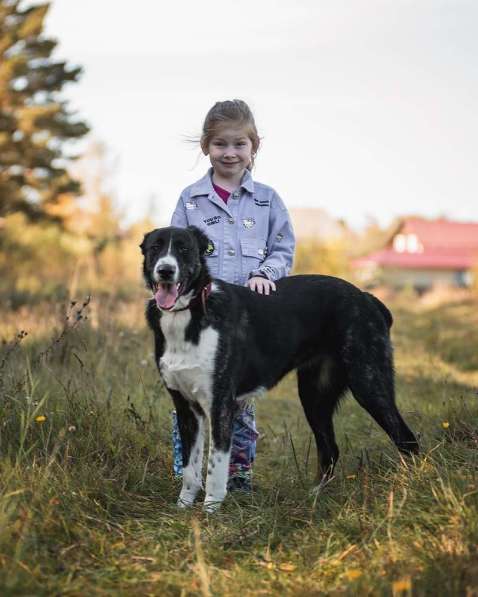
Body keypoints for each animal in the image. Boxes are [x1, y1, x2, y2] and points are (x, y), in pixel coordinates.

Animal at [142, 226, 418, 510]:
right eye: (155, 248)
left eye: (184, 249)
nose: (165, 270)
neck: (191, 312)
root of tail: (368, 298)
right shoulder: (186, 408)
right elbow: (191, 467)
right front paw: (184, 507)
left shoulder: (220, 405)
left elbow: (215, 465)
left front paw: (210, 509)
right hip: (315, 396)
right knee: (330, 448)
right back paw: (315, 496)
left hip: (368, 383)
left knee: (406, 439)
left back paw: (409, 489)